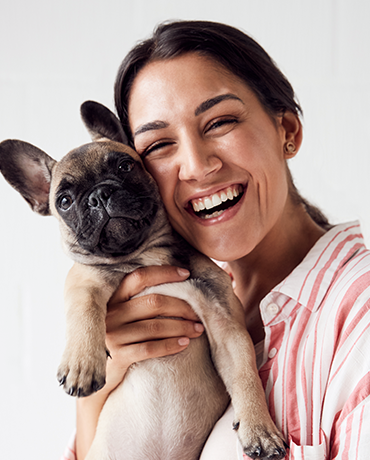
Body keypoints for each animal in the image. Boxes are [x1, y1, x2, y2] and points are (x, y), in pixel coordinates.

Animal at [0, 101, 286, 460]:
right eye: (64, 201)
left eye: (125, 166)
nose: (100, 194)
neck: (147, 254)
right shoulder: (84, 280)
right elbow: (84, 310)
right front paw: (81, 363)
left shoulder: (225, 322)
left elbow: (246, 374)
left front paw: (260, 429)